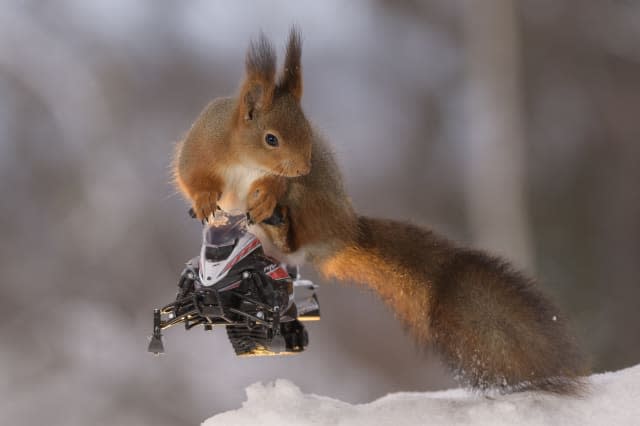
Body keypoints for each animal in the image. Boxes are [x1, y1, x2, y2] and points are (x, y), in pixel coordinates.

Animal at [174, 28, 592, 394]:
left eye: (307, 129)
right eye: (271, 138)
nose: (304, 167)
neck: (245, 160)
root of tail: (344, 230)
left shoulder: (285, 184)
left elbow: (275, 188)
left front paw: (263, 198)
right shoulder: (202, 149)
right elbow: (191, 178)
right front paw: (203, 202)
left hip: (313, 202)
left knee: (294, 240)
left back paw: (278, 227)